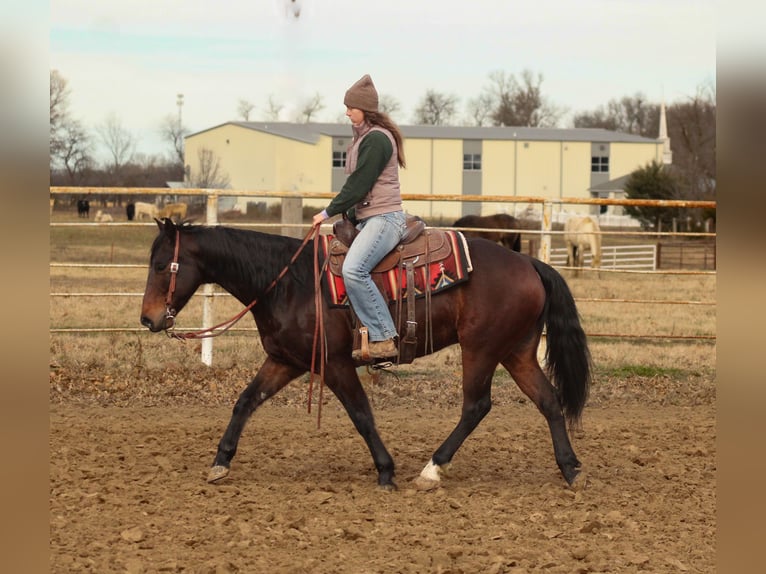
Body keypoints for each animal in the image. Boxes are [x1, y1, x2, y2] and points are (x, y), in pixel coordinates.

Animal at [140, 219, 591, 490]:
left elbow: (361, 415)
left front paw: (386, 471)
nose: (147, 319)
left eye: (162, 265)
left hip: (480, 349)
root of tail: (530, 263)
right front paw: (221, 461)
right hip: (516, 352)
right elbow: (246, 401)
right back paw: (570, 468)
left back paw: (432, 469)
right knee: (548, 400)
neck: (289, 283)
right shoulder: (285, 361)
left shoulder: (335, 364)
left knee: (476, 406)